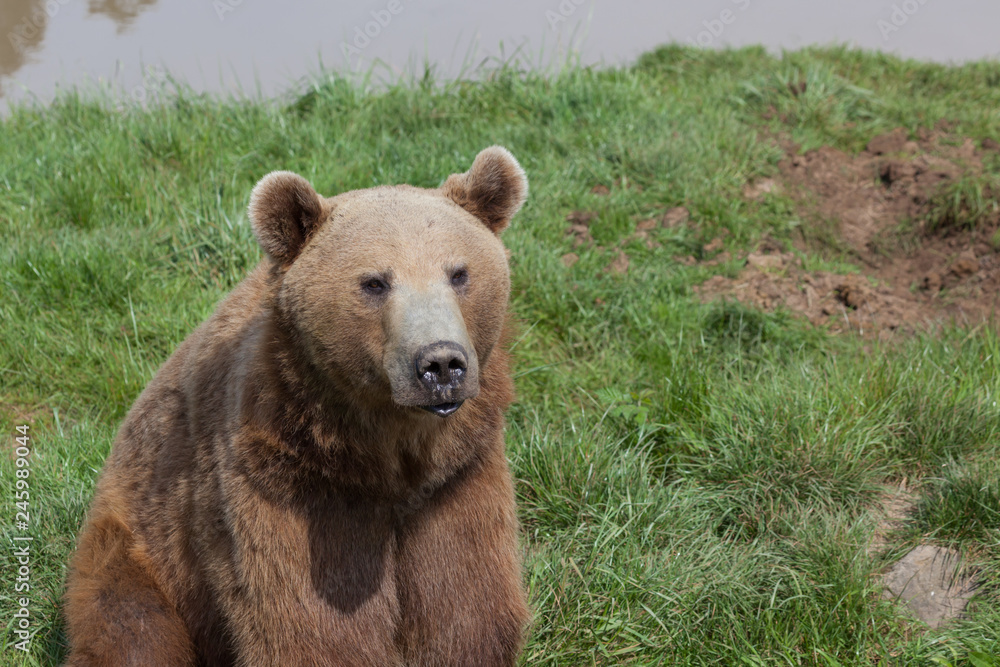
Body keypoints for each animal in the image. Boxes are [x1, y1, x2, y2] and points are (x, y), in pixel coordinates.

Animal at [63, 146, 531, 666]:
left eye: (459, 273)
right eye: (374, 282)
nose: (441, 363)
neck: (384, 454)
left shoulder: (459, 475)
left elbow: (463, 602)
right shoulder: (287, 481)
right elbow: (311, 624)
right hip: (140, 546)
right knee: (131, 627)